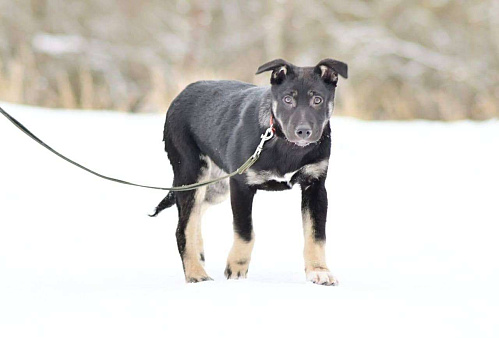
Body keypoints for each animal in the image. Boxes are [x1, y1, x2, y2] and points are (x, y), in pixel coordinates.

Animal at [150, 58, 350, 286]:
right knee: (183, 228)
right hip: (192, 174)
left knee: (196, 215)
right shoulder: (241, 185)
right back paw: (195, 273)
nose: (303, 131)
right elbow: (245, 231)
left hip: (216, 185)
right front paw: (237, 269)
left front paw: (319, 271)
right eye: (287, 99)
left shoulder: (315, 186)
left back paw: (199, 257)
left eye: (317, 100)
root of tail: (181, 93)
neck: (285, 145)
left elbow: (316, 235)